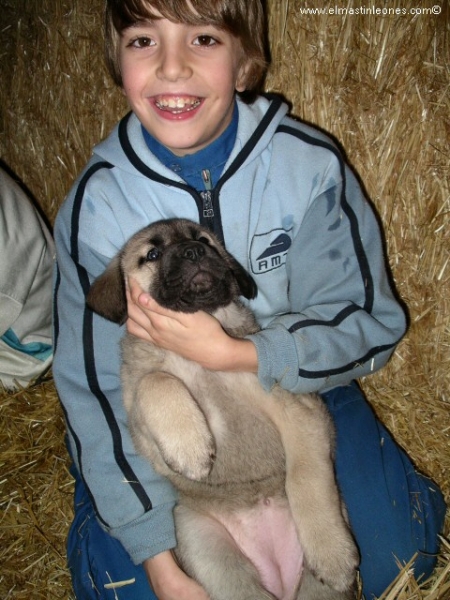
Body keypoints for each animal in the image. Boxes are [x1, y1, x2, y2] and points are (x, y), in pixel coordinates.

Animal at [87, 218, 358, 600]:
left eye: (204, 240)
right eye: (152, 254)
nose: (193, 251)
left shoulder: (299, 412)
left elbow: (307, 478)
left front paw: (332, 554)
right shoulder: (140, 422)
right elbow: (156, 381)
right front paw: (191, 448)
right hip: (207, 549)